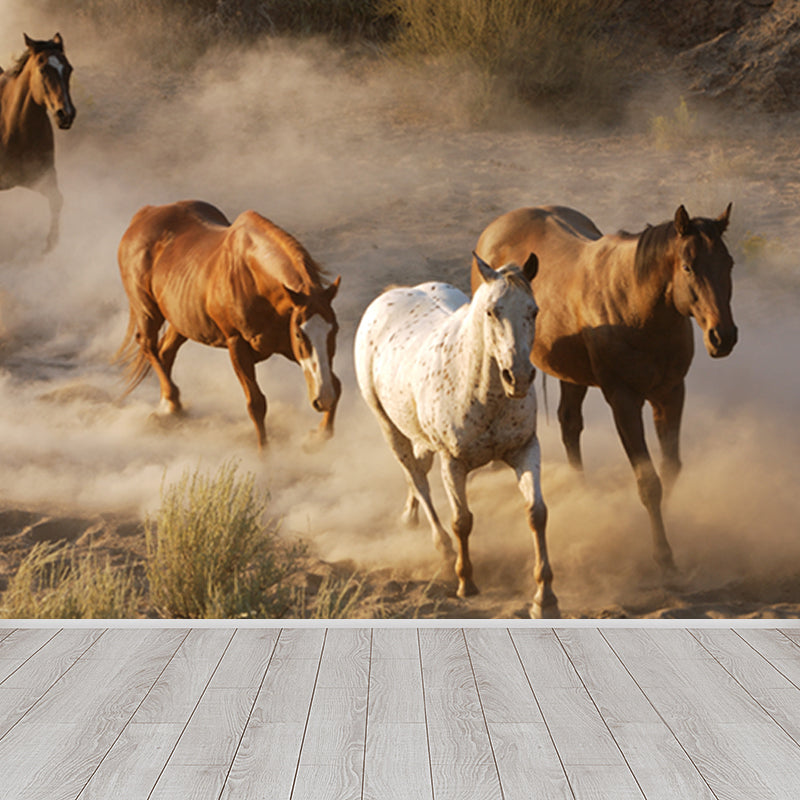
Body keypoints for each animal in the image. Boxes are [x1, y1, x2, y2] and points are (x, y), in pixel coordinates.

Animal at [0, 34, 76, 252]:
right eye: (43, 69)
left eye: (69, 68)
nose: (66, 114)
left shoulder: (42, 177)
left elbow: (57, 200)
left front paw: (50, 246)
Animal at [115, 200, 342, 450]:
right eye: (300, 334)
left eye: (335, 330)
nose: (323, 398)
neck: (254, 279)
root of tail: (145, 214)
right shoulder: (238, 345)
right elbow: (256, 403)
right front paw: (265, 455)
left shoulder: (285, 345)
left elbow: (336, 383)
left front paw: (317, 436)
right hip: (147, 311)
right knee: (148, 345)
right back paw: (172, 403)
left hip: (181, 321)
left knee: (165, 351)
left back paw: (168, 409)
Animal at [355, 252, 559, 618]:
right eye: (492, 311)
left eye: (533, 310)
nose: (519, 377)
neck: (481, 392)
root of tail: (391, 294)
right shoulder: (453, 463)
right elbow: (462, 520)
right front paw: (466, 583)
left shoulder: (525, 449)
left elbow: (536, 513)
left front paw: (544, 597)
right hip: (389, 427)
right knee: (417, 478)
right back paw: (443, 549)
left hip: (419, 435)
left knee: (418, 470)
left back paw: (409, 517)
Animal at [473, 204, 737, 579]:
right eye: (688, 266)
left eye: (728, 263)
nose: (723, 336)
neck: (638, 307)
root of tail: (497, 227)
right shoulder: (623, 401)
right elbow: (649, 481)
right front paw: (662, 554)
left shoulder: (670, 394)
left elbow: (670, 468)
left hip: (571, 374)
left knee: (569, 424)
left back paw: (582, 491)